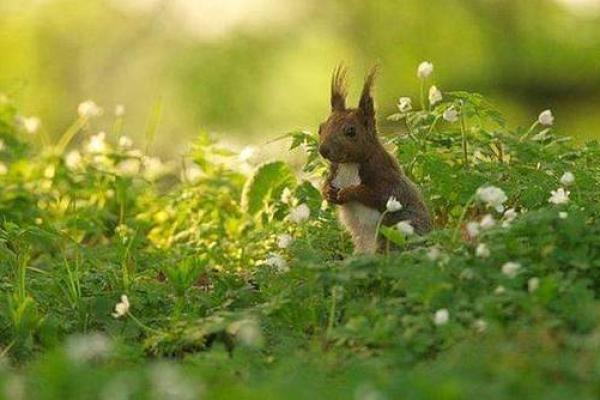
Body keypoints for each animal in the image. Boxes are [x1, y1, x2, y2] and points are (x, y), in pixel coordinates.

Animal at [318, 65, 432, 253]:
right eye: (320, 128)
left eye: (351, 131)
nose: (323, 150)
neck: (349, 164)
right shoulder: (334, 171)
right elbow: (326, 184)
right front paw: (327, 191)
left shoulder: (387, 178)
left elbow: (376, 193)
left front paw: (348, 192)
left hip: (397, 229)